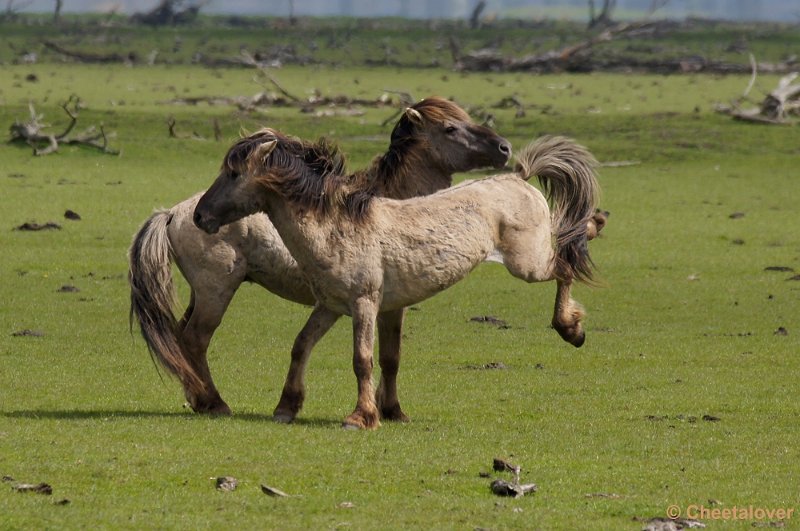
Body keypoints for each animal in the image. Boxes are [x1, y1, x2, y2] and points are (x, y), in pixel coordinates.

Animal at [128, 97, 510, 418]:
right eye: (450, 128)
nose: (504, 148)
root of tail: (172, 214)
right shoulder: (386, 302)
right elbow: (388, 356)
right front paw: (389, 411)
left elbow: (386, 356)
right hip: (215, 293)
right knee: (195, 340)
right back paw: (215, 402)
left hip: (200, 293)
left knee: (180, 339)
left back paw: (197, 399)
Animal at [195, 130, 600, 432]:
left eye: (234, 174)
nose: (200, 216)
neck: (335, 228)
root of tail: (518, 178)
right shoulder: (330, 306)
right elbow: (301, 346)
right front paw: (286, 407)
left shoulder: (364, 304)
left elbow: (363, 359)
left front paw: (361, 417)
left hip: (527, 265)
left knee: (566, 266)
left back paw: (571, 328)